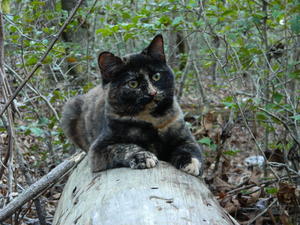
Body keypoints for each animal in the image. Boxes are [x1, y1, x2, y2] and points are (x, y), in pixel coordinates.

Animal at [62, 34, 205, 176]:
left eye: (156, 76)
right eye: (133, 84)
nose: (153, 93)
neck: (151, 119)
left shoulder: (183, 135)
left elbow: (189, 147)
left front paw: (190, 162)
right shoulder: (99, 149)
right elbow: (124, 147)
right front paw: (143, 156)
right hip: (70, 108)